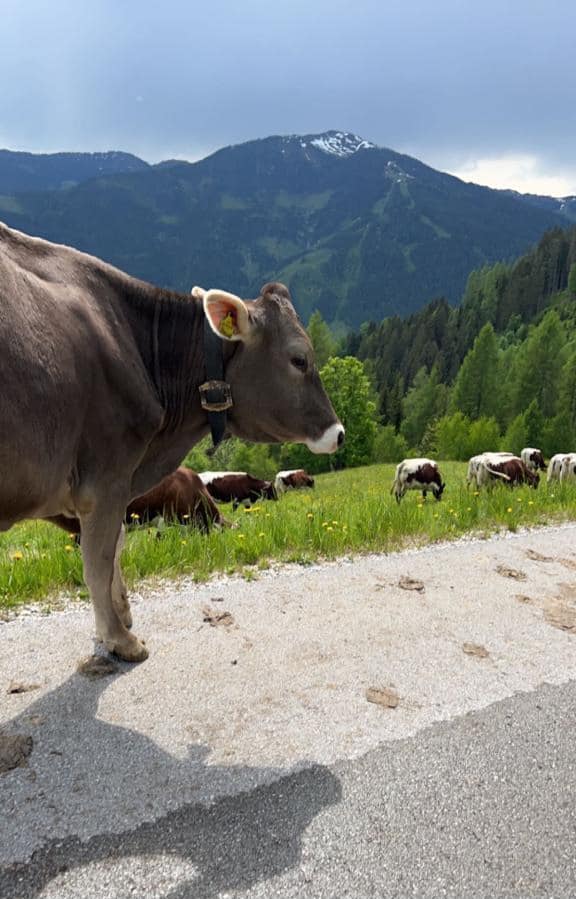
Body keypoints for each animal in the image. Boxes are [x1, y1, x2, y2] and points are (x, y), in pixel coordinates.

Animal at [0, 222, 344, 661]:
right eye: (299, 359)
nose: (339, 433)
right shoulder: (105, 479)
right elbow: (99, 560)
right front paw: (121, 640)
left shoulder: (120, 492)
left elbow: (115, 551)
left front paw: (123, 614)